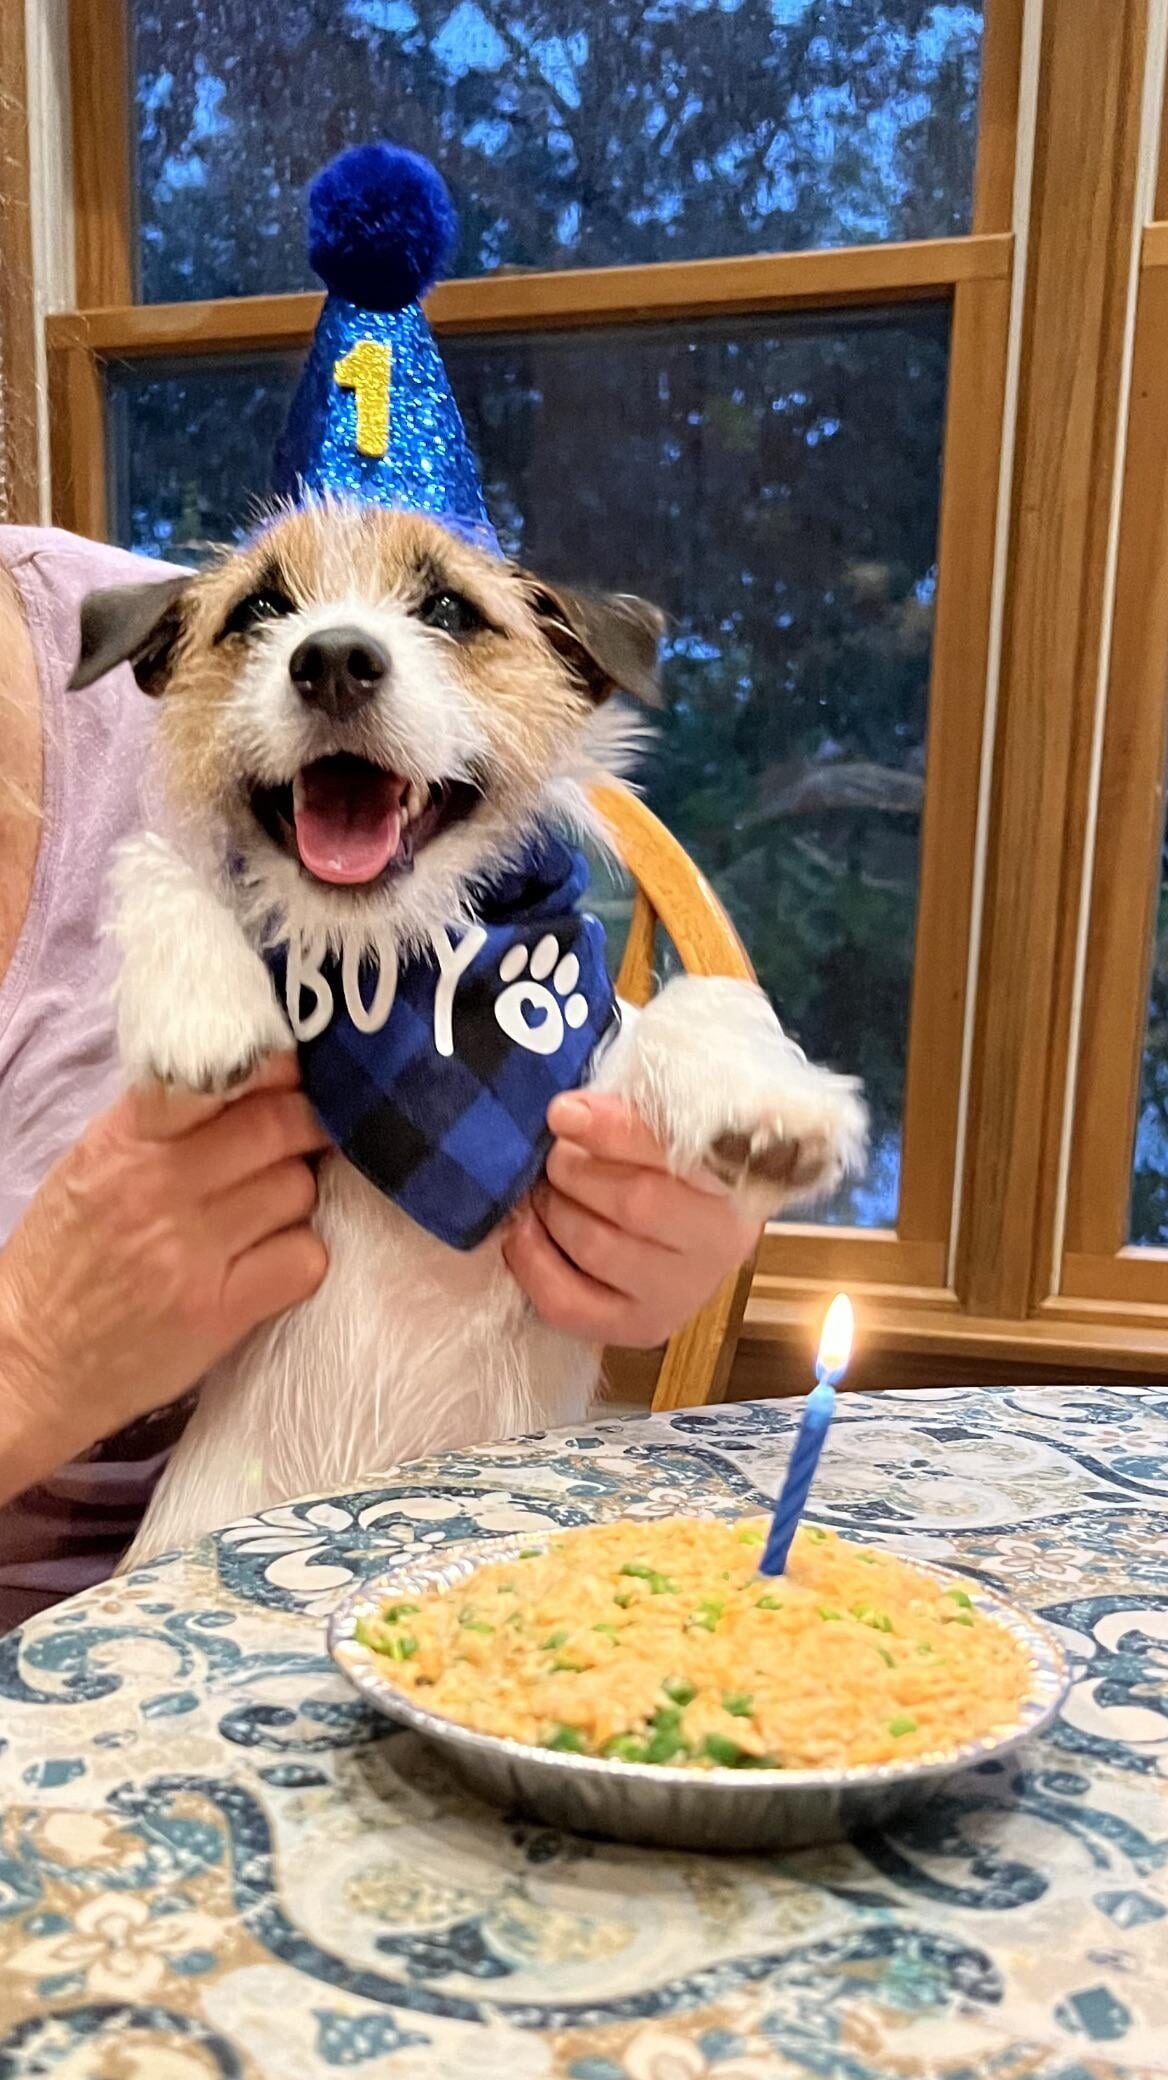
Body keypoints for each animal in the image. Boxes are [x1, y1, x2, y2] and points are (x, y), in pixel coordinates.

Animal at [68, 503, 860, 1564]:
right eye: (260, 610)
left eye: (447, 608)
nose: (333, 659)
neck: (392, 969)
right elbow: (156, 864)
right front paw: (200, 1002)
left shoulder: (560, 1079)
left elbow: (688, 1009)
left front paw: (766, 1099)